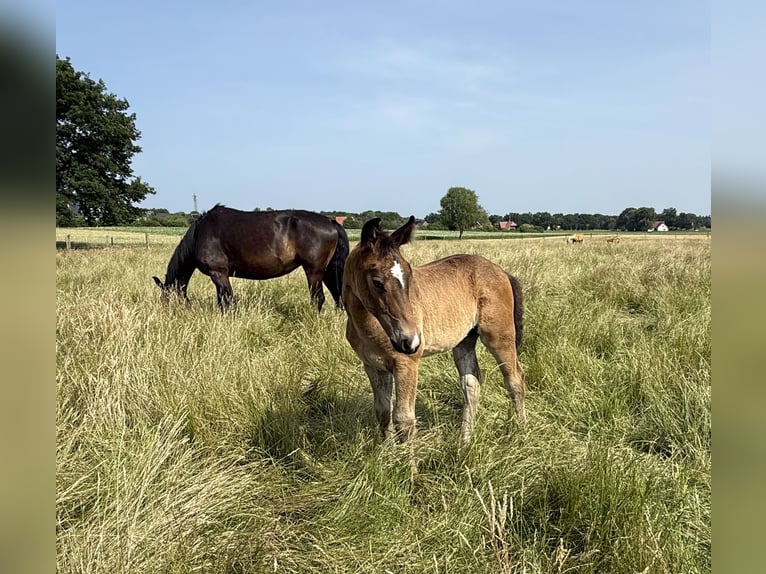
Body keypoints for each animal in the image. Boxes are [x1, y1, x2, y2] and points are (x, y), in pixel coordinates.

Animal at [152, 205, 349, 311]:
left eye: (165, 300)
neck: (200, 234)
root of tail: (330, 222)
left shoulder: (218, 273)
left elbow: (227, 301)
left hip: (314, 271)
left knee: (318, 299)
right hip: (328, 270)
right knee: (338, 296)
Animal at [342, 216, 526, 444]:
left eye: (409, 274)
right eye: (377, 282)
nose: (411, 341)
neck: (368, 327)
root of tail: (501, 272)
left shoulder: (406, 364)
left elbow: (404, 419)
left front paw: (405, 455)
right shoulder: (373, 365)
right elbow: (383, 412)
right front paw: (387, 451)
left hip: (499, 336)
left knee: (515, 379)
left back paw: (523, 431)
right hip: (464, 341)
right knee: (471, 383)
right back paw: (464, 440)